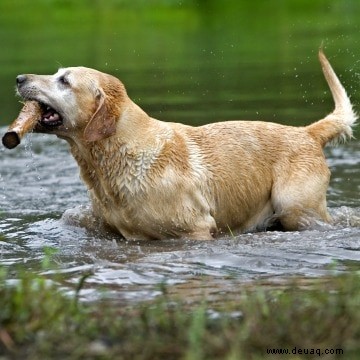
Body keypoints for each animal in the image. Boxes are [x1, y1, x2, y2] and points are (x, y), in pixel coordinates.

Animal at [13, 50, 354, 239]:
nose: (18, 78)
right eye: (57, 74)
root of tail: (307, 132)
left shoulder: (195, 229)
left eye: (64, 81)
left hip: (293, 206)